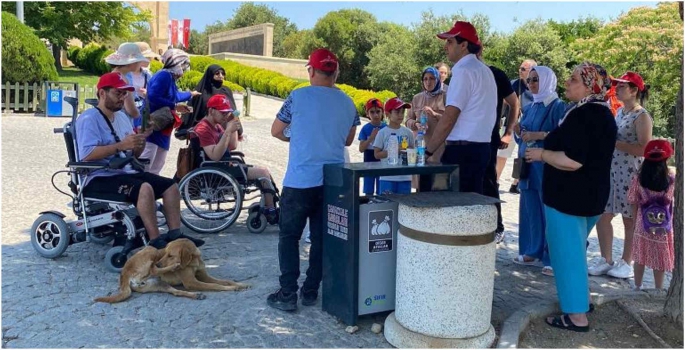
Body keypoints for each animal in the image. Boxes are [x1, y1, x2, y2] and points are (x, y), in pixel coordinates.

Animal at [93, 238, 248, 304]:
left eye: (170, 255)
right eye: (165, 253)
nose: (160, 262)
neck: (194, 262)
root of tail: (123, 274)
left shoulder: (204, 276)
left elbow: (225, 280)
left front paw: (240, 284)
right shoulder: (191, 282)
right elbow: (216, 285)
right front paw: (233, 288)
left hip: (159, 284)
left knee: (176, 292)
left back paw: (195, 295)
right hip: (151, 250)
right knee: (153, 269)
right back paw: (172, 268)